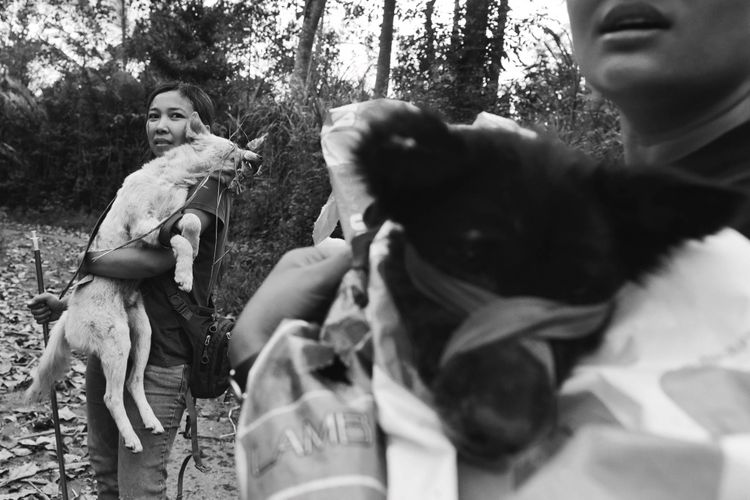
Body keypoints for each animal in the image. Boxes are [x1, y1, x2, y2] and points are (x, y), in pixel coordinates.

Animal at [26, 114, 258, 454]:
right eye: (233, 147)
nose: (259, 158)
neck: (170, 178)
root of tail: (68, 318)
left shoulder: (170, 219)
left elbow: (189, 223)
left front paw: (193, 252)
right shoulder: (144, 226)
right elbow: (180, 237)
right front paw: (185, 273)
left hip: (143, 334)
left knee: (133, 383)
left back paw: (150, 421)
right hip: (117, 339)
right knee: (112, 396)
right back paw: (132, 438)